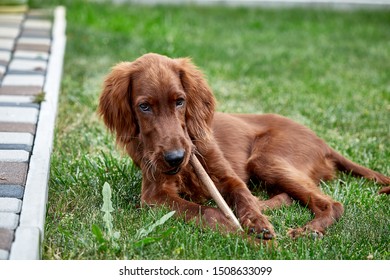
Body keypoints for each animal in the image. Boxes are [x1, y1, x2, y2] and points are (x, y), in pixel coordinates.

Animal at [98, 53, 390, 241]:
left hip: (266, 159)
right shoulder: (154, 195)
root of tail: (323, 142)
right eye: (144, 106)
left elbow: (242, 195)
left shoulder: (226, 175)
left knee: (331, 204)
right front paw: (233, 225)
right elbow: (204, 210)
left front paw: (256, 222)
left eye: (180, 101)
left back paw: (308, 231)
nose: (175, 158)